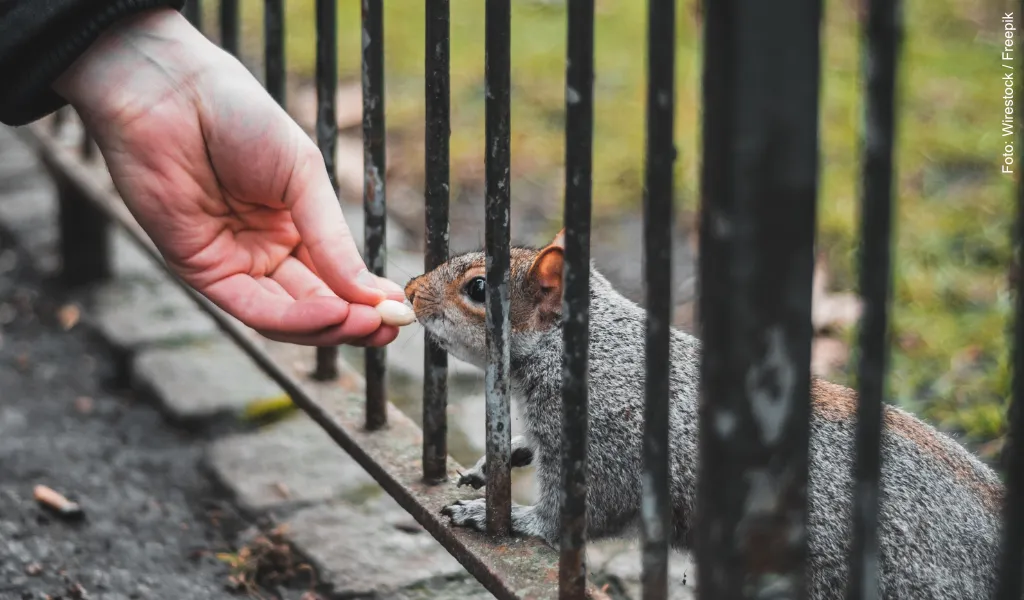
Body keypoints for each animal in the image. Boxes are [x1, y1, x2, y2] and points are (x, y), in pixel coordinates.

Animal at [403, 227, 1003, 593]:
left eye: (478, 287)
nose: (409, 289)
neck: (592, 349)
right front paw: (494, 463)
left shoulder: (608, 436)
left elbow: (577, 515)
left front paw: (503, 517)